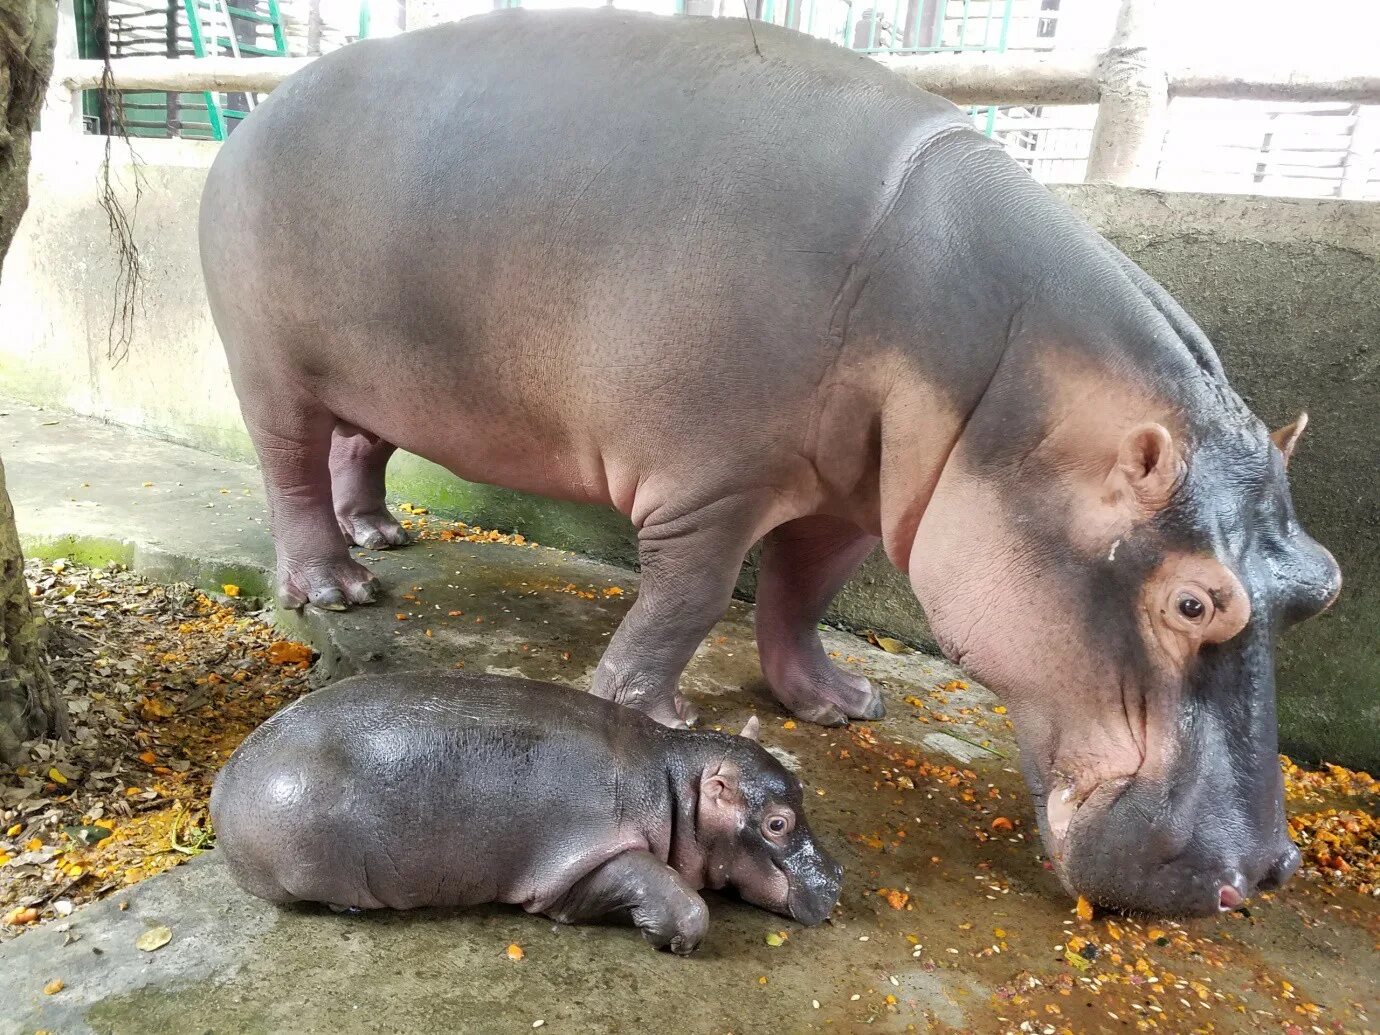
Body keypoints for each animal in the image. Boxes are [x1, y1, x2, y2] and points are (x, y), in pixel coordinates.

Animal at [200, 10, 1341, 916]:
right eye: (1194, 602)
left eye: (1321, 584)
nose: (1263, 871)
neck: (998, 372)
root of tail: (260, 109)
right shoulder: (709, 484)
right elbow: (692, 597)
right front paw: (648, 713)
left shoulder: (853, 495)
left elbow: (801, 593)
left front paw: (839, 704)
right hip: (270, 364)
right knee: (289, 465)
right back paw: (339, 586)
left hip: (382, 373)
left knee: (360, 445)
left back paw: (381, 531)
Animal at [209, 673, 844, 954]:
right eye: (777, 822)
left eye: (802, 787)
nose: (837, 880)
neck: (676, 787)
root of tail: (223, 778)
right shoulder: (584, 857)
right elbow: (681, 900)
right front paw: (669, 939)